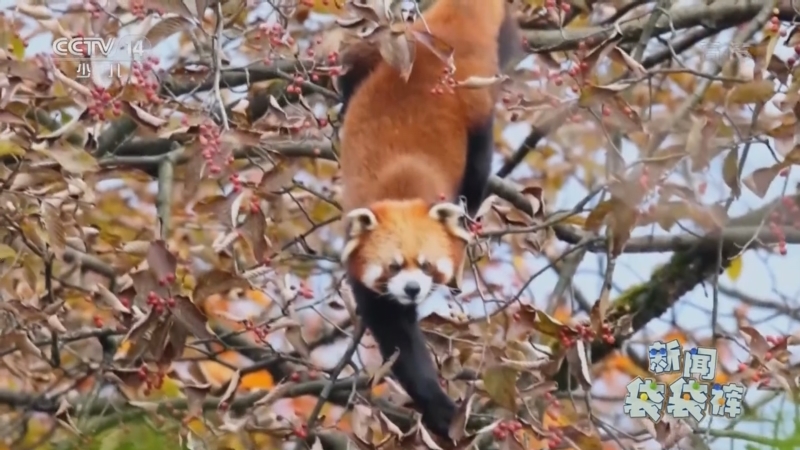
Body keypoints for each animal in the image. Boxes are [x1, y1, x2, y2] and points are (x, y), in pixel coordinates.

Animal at [336, 0, 520, 440]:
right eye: (393, 266)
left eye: (426, 265)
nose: (413, 289)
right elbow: (397, 337)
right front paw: (438, 406)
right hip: (383, 52)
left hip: (476, 100)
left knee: (479, 161)